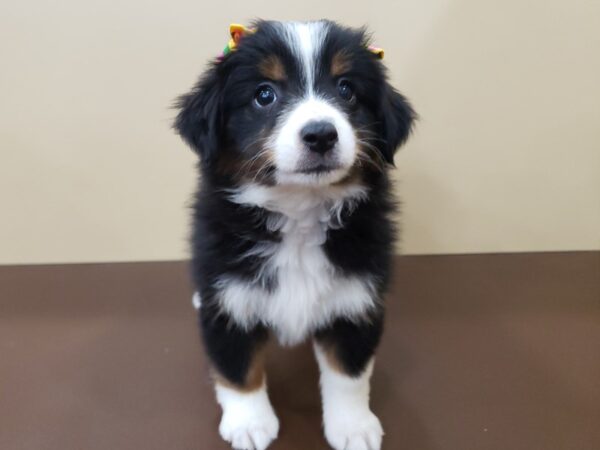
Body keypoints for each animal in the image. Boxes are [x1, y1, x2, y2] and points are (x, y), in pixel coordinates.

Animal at [173, 20, 414, 450]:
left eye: (346, 89)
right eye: (264, 94)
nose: (320, 134)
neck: (299, 214)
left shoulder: (357, 298)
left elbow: (348, 372)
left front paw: (352, 426)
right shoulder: (230, 299)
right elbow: (237, 368)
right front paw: (250, 423)